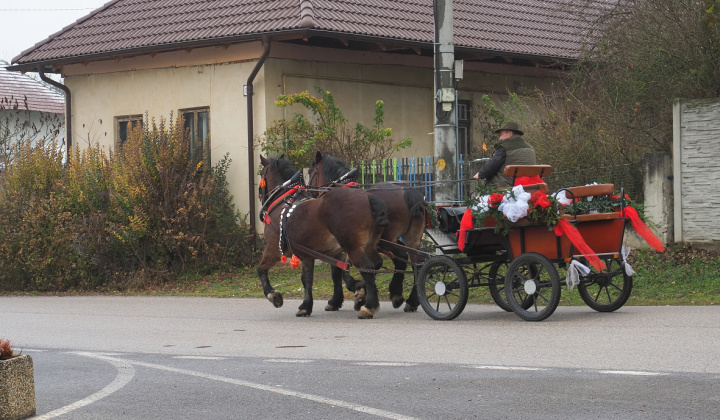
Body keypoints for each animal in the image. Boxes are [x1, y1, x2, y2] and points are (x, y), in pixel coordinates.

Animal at [258, 155, 390, 318]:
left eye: (261, 173)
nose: (261, 195)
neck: (284, 203)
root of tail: (368, 198)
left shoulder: (272, 250)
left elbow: (261, 270)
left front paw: (273, 295)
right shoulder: (307, 255)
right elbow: (307, 279)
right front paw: (306, 306)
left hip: (353, 247)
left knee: (367, 268)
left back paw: (369, 306)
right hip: (370, 245)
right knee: (376, 265)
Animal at [308, 152, 428, 312]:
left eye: (310, 171)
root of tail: (406, 190)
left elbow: (339, 270)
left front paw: (345, 296)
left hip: (389, 241)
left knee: (402, 259)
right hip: (410, 239)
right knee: (416, 262)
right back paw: (411, 299)